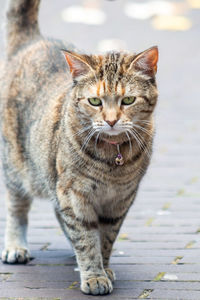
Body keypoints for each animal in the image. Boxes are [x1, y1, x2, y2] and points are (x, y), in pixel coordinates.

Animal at [0, 0, 158, 296]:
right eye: (95, 101)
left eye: (128, 100)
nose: (111, 120)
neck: (112, 161)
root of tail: (34, 40)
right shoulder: (74, 193)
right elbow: (86, 238)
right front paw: (94, 275)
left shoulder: (119, 200)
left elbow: (105, 238)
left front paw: (103, 267)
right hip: (17, 168)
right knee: (17, 208)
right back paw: (16, 246)